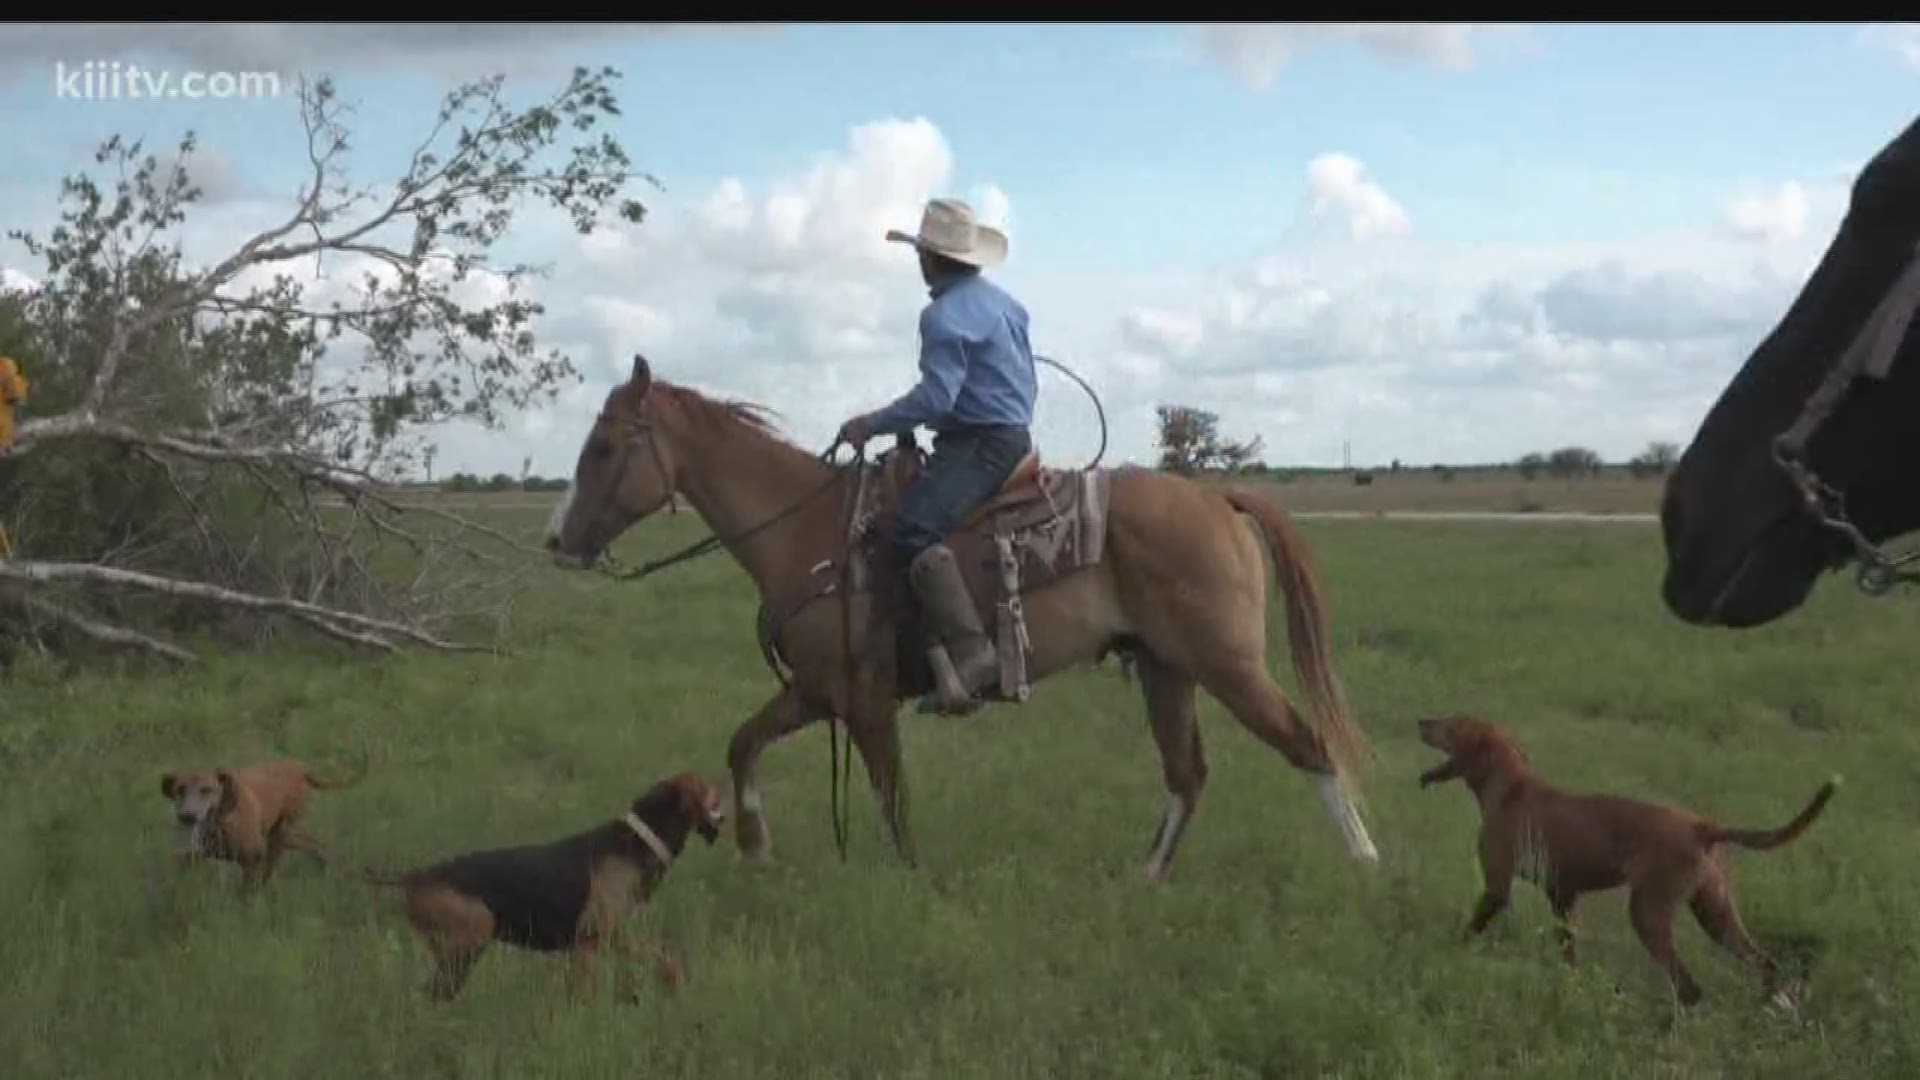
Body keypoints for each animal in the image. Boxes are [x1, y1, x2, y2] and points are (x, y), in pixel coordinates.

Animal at [161, 749, 366, 891]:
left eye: (206, 789)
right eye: (180, 790)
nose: (187, 816)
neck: (221, 820)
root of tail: (298, 767)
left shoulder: (252, 860)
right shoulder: (196, 854)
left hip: (281, 836)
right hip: (288, 837)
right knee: (318, 847)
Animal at [364, 768, 725, 999]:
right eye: (709, 790)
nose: (727, 795)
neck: (638, 841)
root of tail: (413, 877)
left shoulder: (596, 943)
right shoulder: (595, 937)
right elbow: (662, 956)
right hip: (474, 931)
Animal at [541, 357, 1382, 880]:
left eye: (606, 446)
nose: (557, 540)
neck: (809, 533)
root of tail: (1218, 500)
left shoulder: (866, 704)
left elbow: (891, 802)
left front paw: (907, 880)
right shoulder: (815, 694)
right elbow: (743, 744)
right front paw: (755, 847)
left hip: (1227, 667)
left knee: (1308, 746)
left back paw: (1368, 868)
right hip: (1165, 669)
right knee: (1187, 774)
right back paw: (1143, 880)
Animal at [1420, 711, 1835, 1006]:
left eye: (1451, 723)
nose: (1421, 721)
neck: (1510, 788)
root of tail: (1702, 826)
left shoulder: (1496, 888)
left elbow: (1468, 931)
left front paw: (1445, 955)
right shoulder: (1562, 897)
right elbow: (1569, 955)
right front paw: (1571, 989)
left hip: (1648, 912)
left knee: (1689, 986)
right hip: (1715, 914)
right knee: (1766, 964)